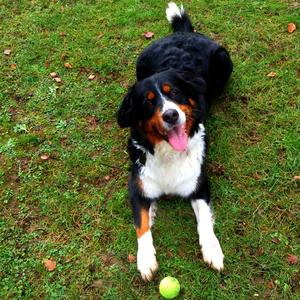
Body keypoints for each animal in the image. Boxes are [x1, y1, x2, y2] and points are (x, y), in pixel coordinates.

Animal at [116, 2, 232, 282]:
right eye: (147, 102)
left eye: (175, 93)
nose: (171, 114)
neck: (168, 153)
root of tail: (182, 33)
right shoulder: (138, 187)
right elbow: (141, 225)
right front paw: (146, 259)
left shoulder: (199, 186)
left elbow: (205, 221)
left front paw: (213, 251)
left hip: (224, 60)